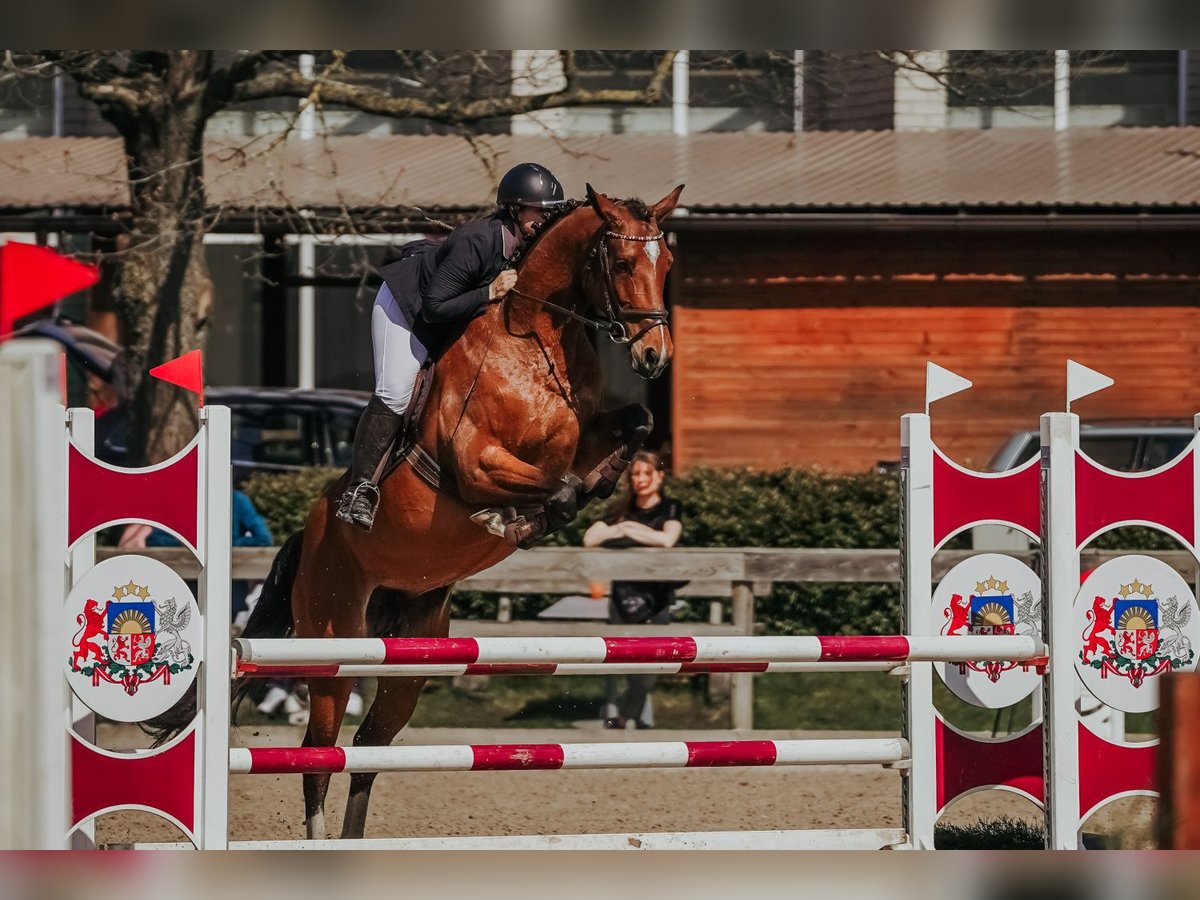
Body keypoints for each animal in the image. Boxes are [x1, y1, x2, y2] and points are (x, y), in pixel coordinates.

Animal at [238, 184, 686, 844]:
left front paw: (599, 483)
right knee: (318, 754)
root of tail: (310, 533)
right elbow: (552, 489)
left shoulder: (587, 434)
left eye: (668, 264)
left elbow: (635, 423)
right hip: (334, 644)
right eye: (625, 264)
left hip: (409, 657)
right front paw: (514, 520)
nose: (655, 356)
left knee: (368, 749)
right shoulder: (476, 464)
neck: (536, 339)